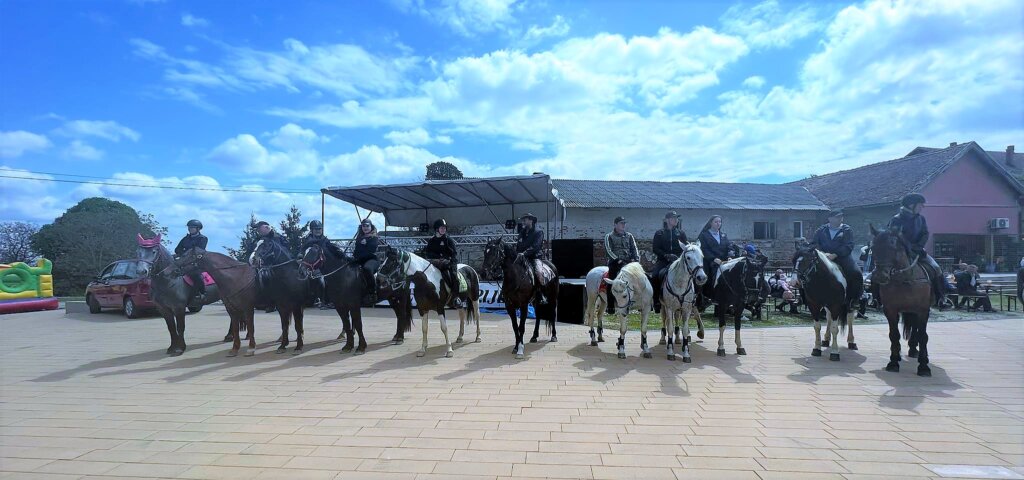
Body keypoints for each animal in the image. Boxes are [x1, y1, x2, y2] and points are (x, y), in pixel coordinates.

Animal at [868, 223, 933, 376]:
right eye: (873, 248)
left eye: (893, 247)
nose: (880, 276)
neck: (905, 280)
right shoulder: (891, 311)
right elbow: (894, 335)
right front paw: (893, 362)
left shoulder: (923, 311)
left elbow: (923, 335)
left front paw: (923, 366)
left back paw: (916, 352)